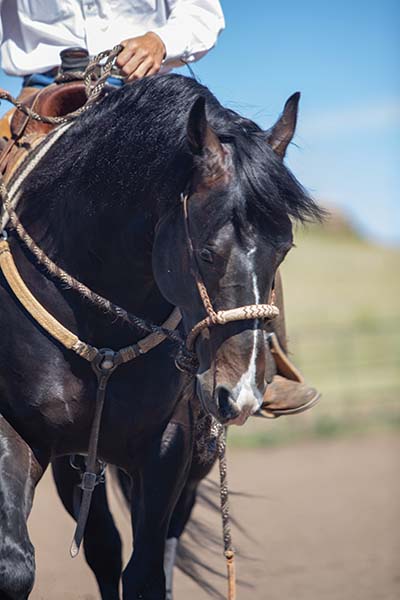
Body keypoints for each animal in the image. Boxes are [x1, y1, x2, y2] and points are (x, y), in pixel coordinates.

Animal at [0, 72, 322, 596]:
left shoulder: (169, 443)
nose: (242, 394)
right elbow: (16, 565)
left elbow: (147, 573)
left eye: (285, 248)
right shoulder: (16, 430)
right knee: (103, 547)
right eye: (207, 252)